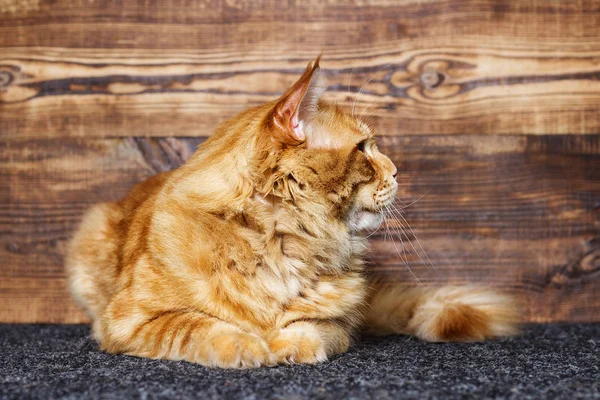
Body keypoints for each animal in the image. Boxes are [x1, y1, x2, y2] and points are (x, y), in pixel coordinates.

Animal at [64, 57, 516, 368]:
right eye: (364, 149)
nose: (396, 170)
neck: (279, 241)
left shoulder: (339, 325)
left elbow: (309, 330)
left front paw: (283, 344)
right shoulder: (129, 321)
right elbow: (196, 326)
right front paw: (247, 345)